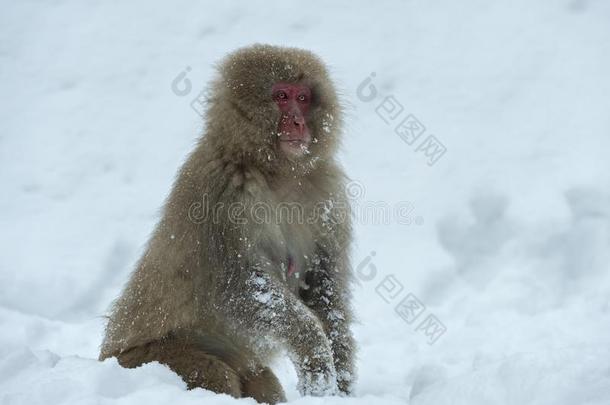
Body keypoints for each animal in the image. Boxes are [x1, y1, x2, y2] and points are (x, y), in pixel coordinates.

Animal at [99, 44, 354, 400]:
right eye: (281, 95)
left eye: (303, 98)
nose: (297, 122)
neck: (277, 173)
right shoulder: (221, 193)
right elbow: (238, 285)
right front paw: (313, 351)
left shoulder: (328, 197)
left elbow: (324, 287)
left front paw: (338, 385)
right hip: (146, 358)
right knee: (215, 375)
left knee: (262, 380)